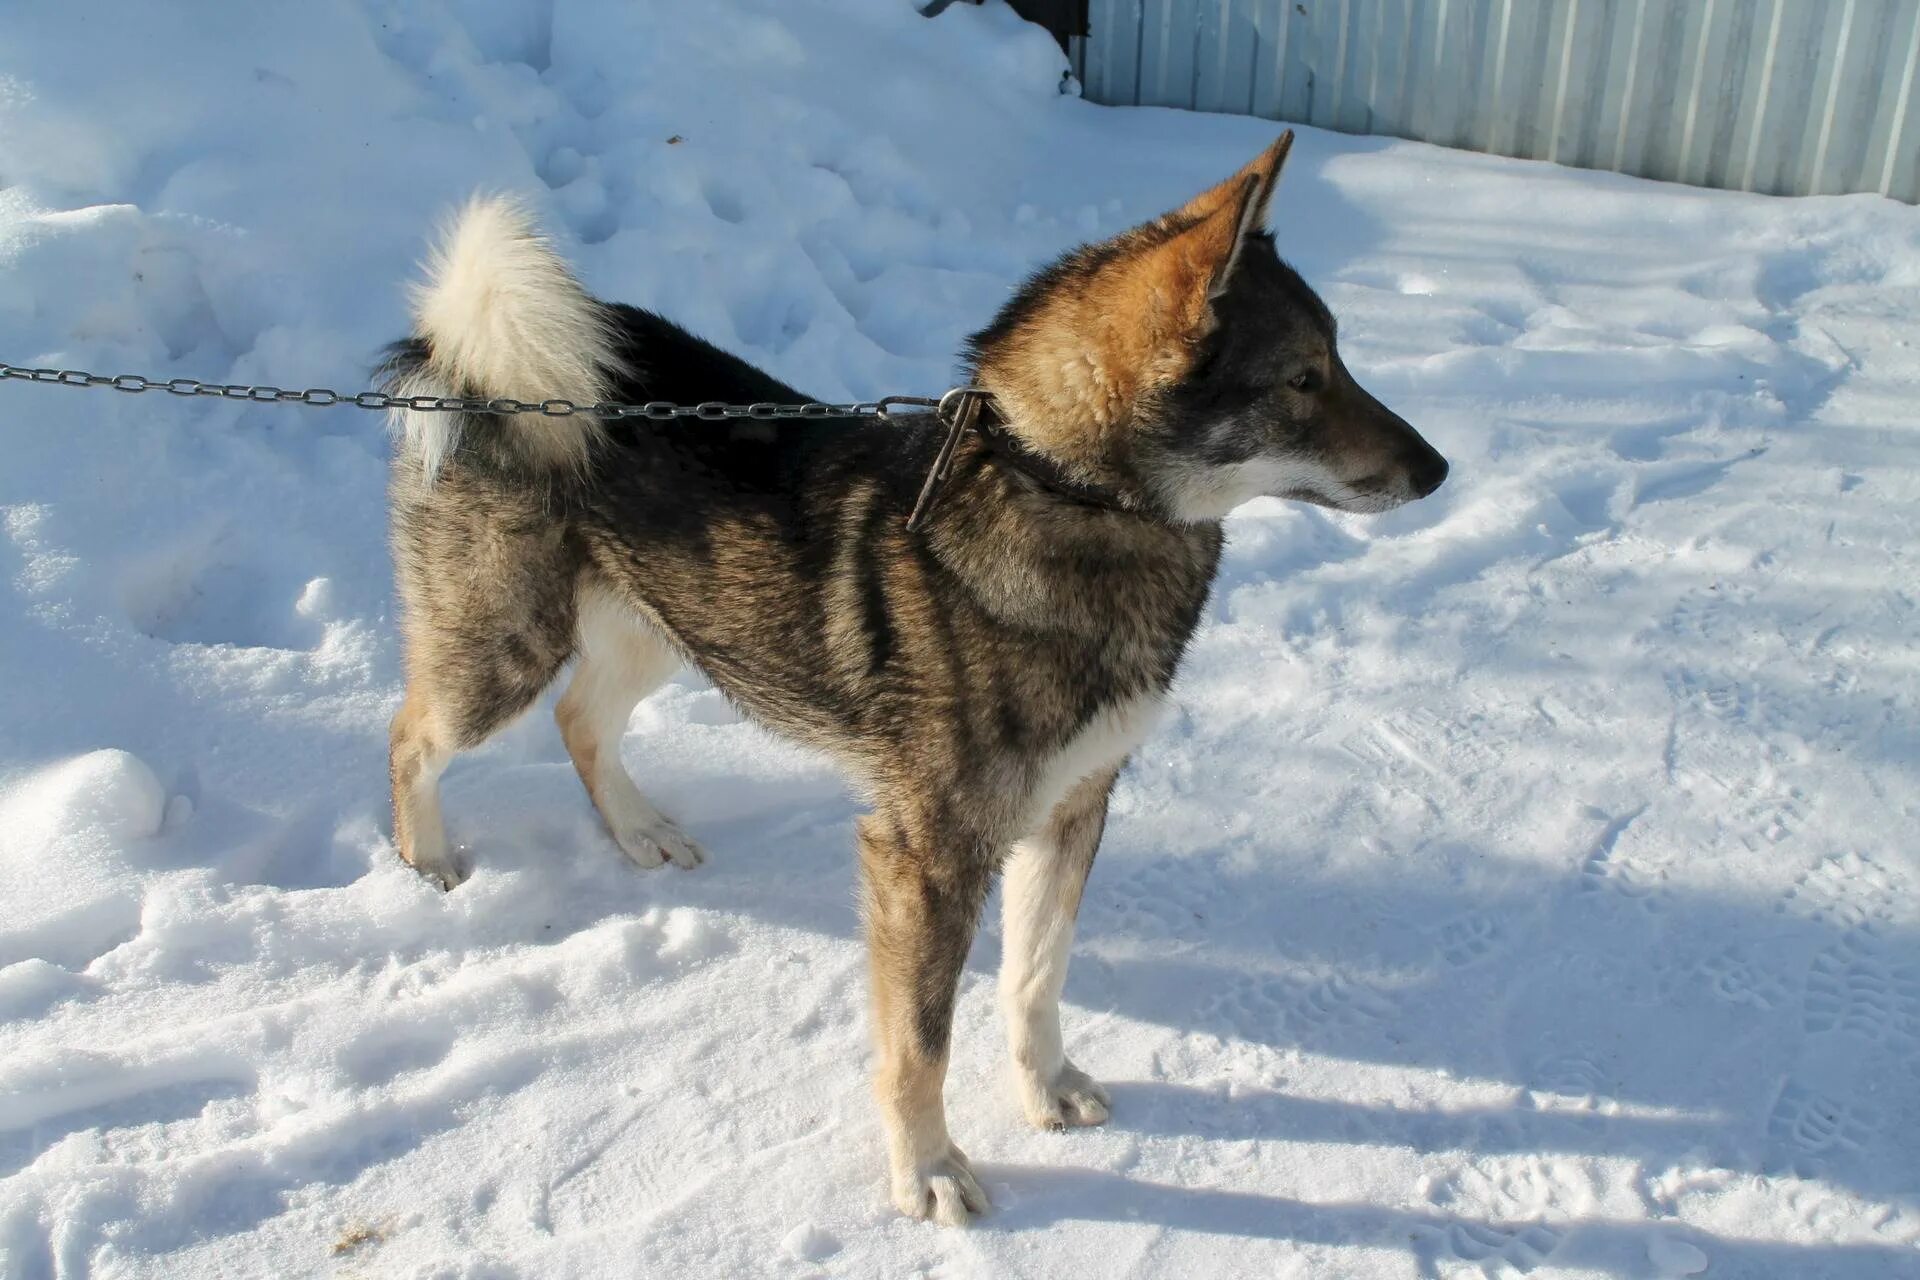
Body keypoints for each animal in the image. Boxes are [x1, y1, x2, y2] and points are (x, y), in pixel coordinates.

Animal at [382, 132, 1443, 1228]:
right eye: (1304, 378)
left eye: (1340, 359)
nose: (1439, 468)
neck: (1056, 489)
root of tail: (472, 356)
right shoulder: (927, 854)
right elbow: (918, 1046)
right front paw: (926, 1168)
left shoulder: (1074, 807)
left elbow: (1035, 975)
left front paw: (1042, 1086)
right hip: (505, 650)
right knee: (415, 733)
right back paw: (429, 859)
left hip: (664, 628)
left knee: (581, 719)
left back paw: (639, 832)